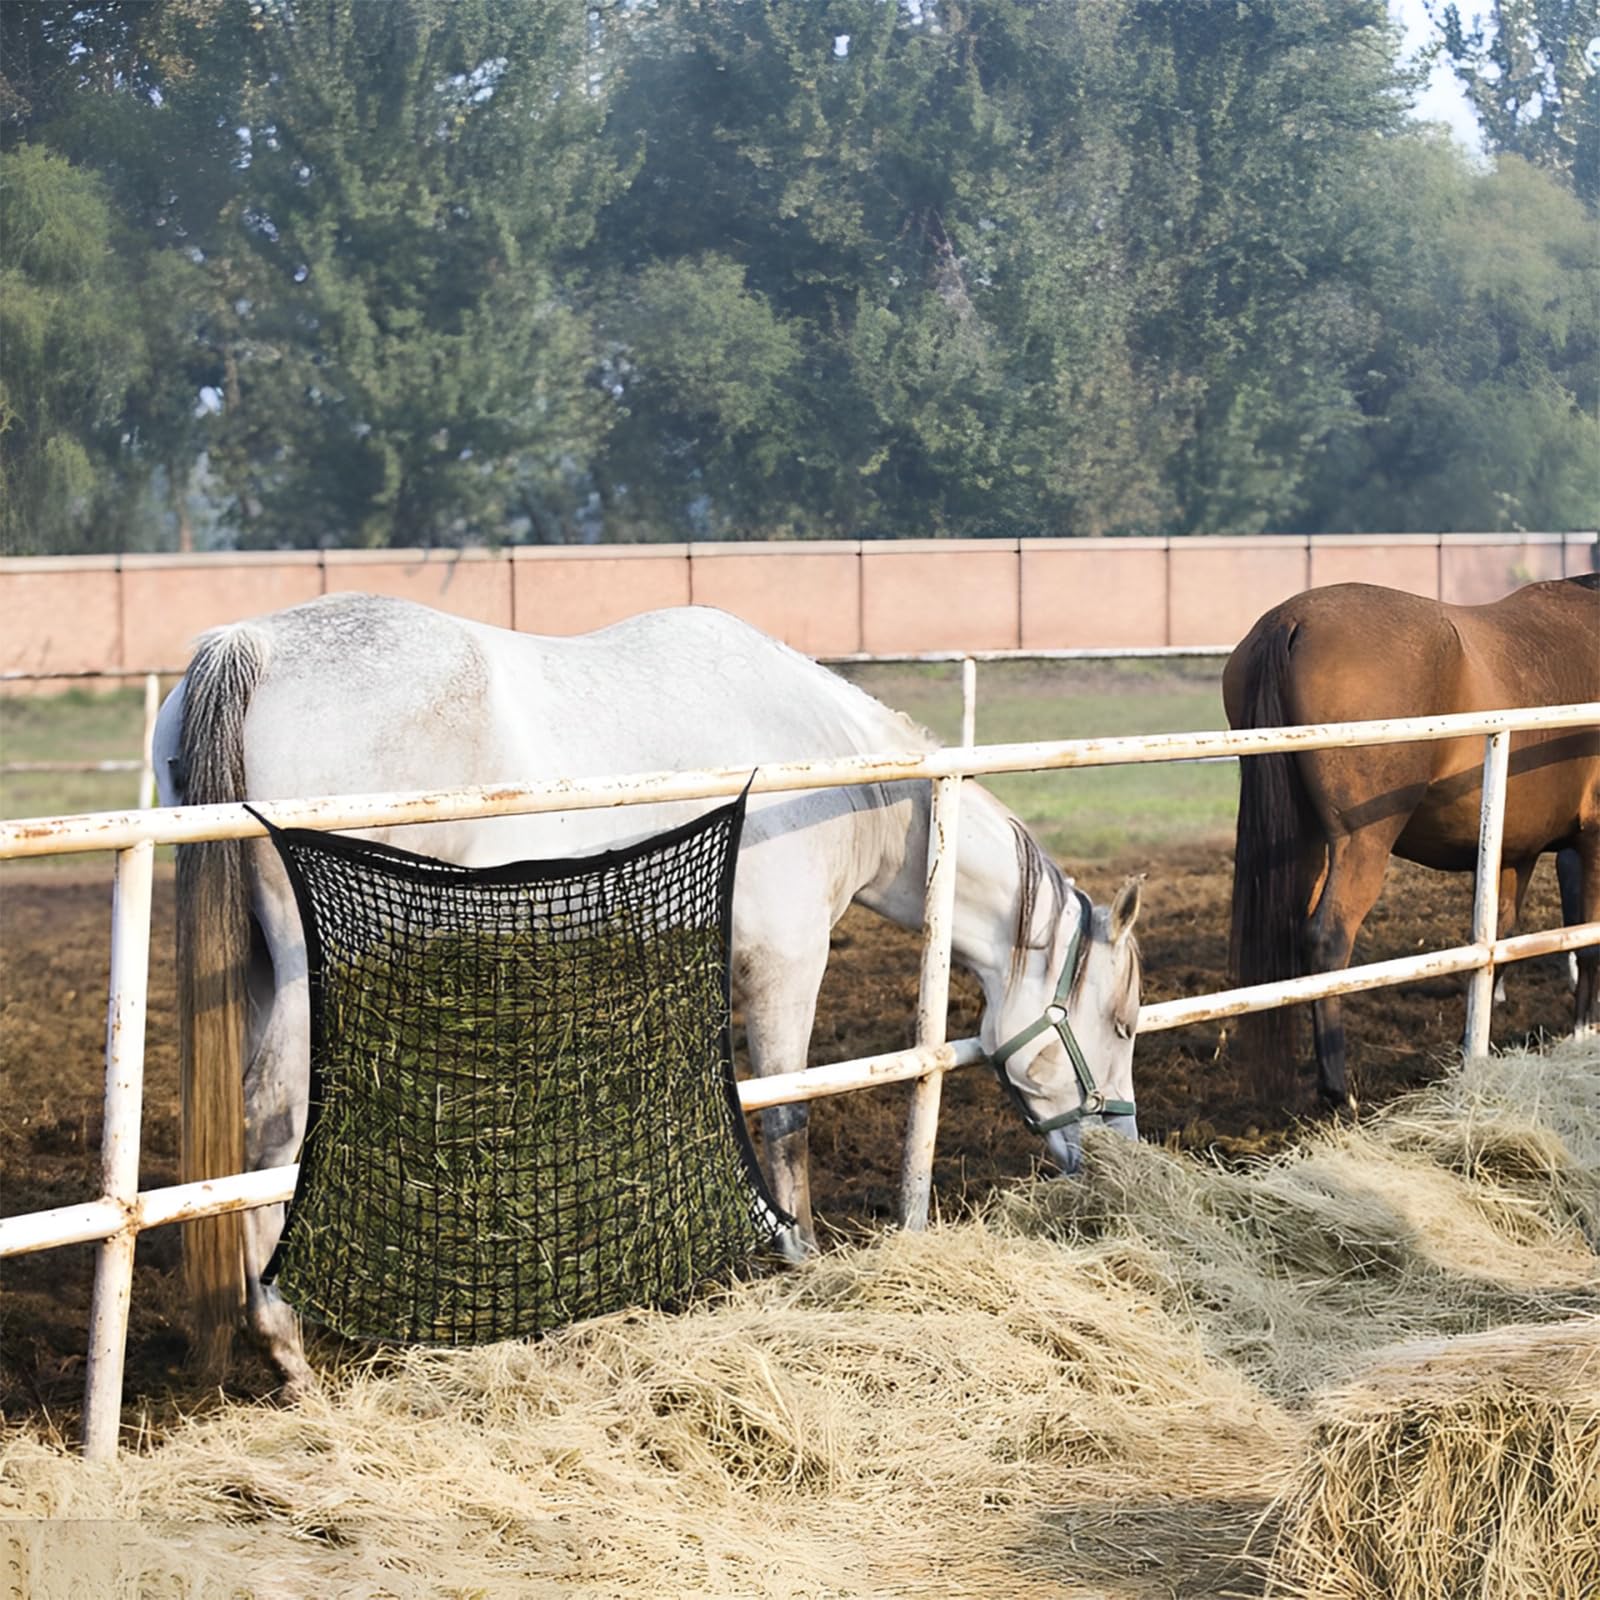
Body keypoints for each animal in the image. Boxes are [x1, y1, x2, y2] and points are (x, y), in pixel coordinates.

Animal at [154, 593, 1143, 1395]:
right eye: (1126, 1023)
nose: (1120, 1156)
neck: (837, 779)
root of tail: (251, 648)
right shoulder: (785, 961)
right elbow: (786, 1116)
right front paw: (798, 1258)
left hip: (249, 968)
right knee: (275, 1116)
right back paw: (286, 1345)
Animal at [1224, 574, 1600, 1110]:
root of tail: (1291, 621)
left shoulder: (1516, 852)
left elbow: (1499, 940)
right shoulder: (1590, 841)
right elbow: (1586, 942)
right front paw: (1584, 1035)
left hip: (1303, 842)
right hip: (1361, 843)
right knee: (1328, 938)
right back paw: (1338, 1091)